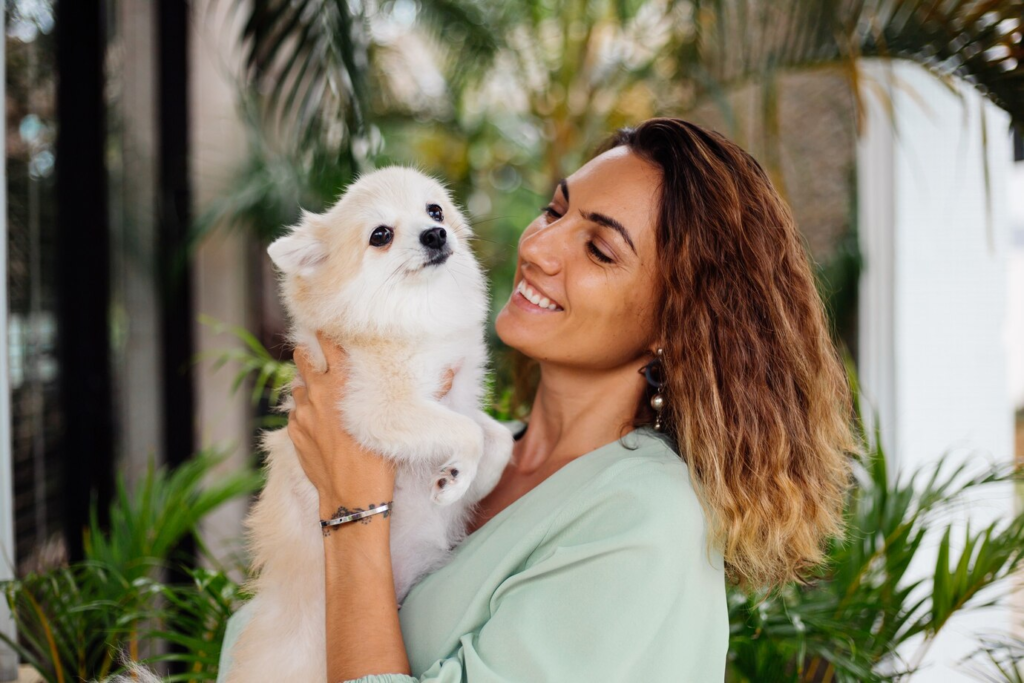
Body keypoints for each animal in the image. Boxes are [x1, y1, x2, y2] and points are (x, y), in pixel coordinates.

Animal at [224, 166, 512, 683]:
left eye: (435, 210)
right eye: (380, 236)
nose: (435, 234)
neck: (415, 310)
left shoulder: (455, 397)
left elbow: (496, 436)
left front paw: (466, 482)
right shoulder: (379, 409)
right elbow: (471, 434)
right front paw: (456, 479)